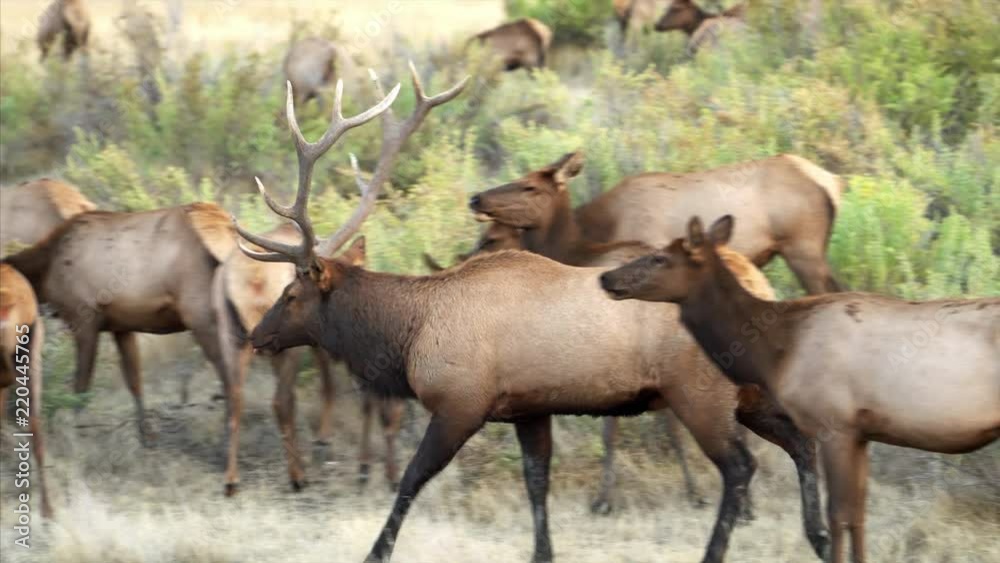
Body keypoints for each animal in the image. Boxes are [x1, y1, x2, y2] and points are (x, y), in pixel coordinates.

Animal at [213, 223, 404, 490]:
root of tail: (253, 277)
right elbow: (339, 386)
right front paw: (329, 444)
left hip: (231, 336)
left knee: (234, 398)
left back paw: (231, 480)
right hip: (281, 348)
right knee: (281, 400)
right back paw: (298, 476)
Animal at [599, 214, 1000, 563]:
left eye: (659, 257)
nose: (606, 276)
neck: (776, 352)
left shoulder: (834, 424)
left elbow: (838, 515)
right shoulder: (861, 432)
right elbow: (858, 515)